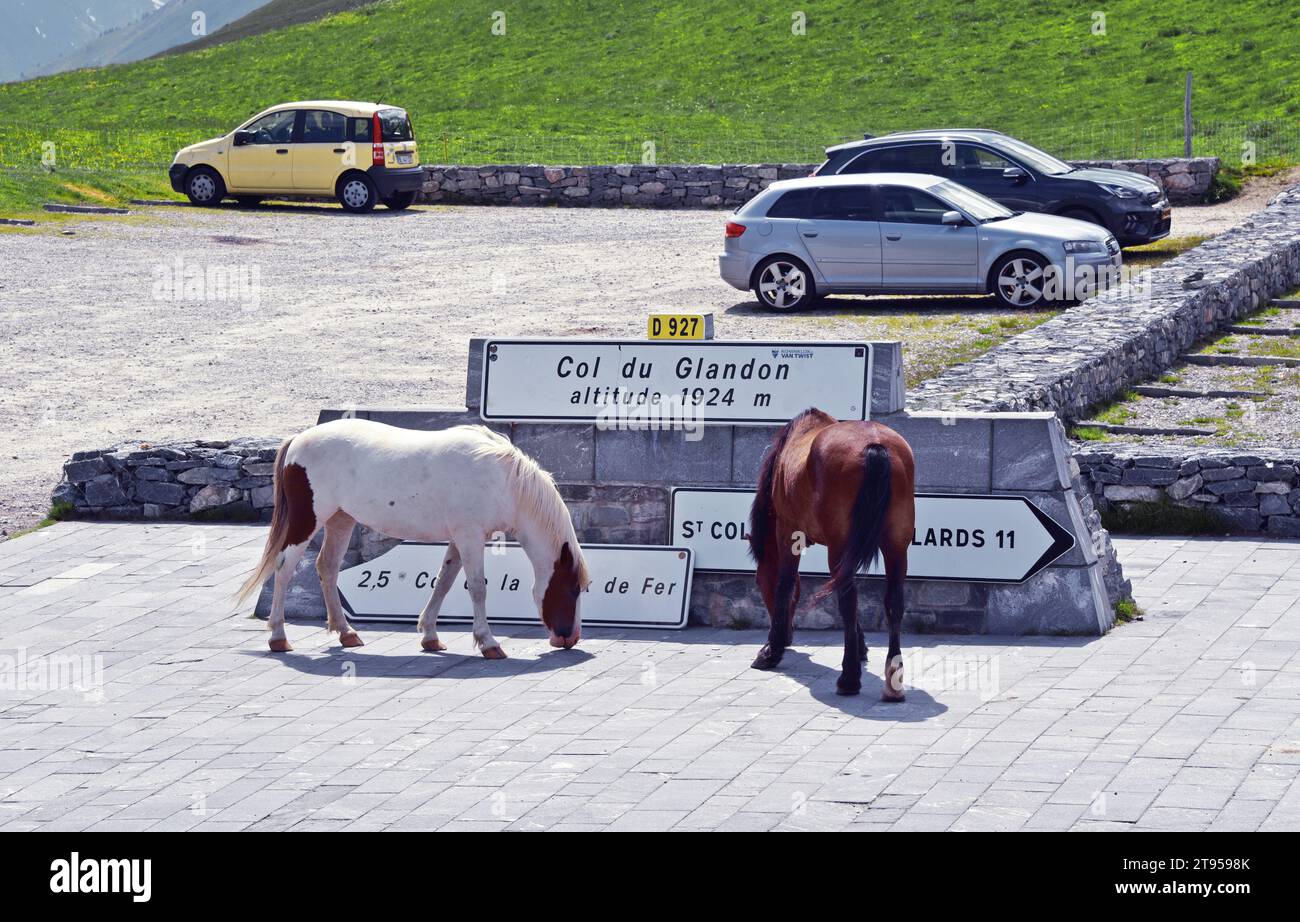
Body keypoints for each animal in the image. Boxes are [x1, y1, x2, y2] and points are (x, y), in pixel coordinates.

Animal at [236, 416, 592, 655]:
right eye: (573, 588)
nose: (569, 637)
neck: (503, 479)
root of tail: (297, 441)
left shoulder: (458, 539)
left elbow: (444, 581)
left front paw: (430, 635)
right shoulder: (470, 537)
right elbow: (477, 588)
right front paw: (488, 642)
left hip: (341, 520)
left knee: (328, 568)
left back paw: (346, 632)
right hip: (308, 521)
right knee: (284, 569)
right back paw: (278, 637)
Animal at [748, 408, 920, 697]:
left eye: (761, 584)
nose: (788, 635)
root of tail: (875, 445)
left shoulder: (788, 530)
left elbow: (785, 584)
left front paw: (771, 650)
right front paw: (861, 646)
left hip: (840, 547)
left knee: (848, 601)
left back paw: (849, 678)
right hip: (896, 546)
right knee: (893, 602)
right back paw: (892, 682)